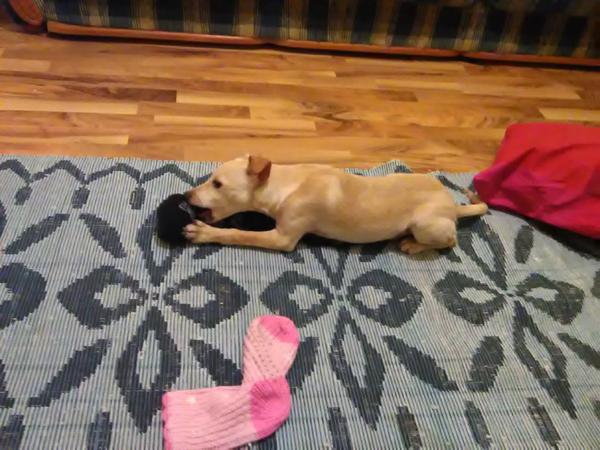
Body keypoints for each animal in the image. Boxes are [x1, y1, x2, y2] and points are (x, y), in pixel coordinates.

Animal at [184, 155, 487, 254]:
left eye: (217, 184)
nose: (186, 197)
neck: (285, 185)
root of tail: (453, 205)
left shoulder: (283, 239)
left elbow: (240, 235)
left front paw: (205, 233)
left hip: (426, 225)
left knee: (450, 241)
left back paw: (414, 245)